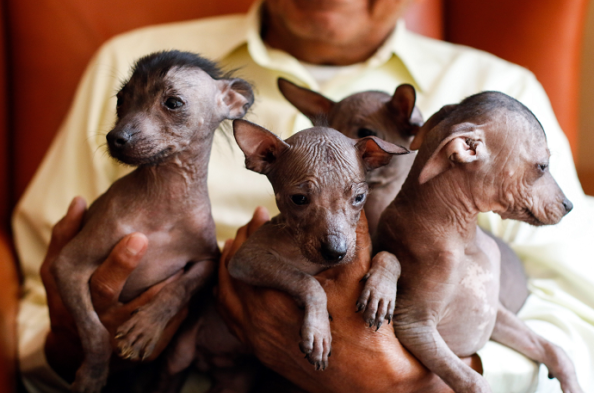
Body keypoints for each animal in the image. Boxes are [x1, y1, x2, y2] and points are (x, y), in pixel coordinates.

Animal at [50, 50, 252, 390]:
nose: (116, 137)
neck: (164, 203)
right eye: (120, 99)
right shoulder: (68, 265)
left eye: (173, 103)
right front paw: (92, 374)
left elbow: (179, 289)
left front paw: (145, 327)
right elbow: (94, 332)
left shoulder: (208, 261)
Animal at [227, 120, 408, 370]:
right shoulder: (246, 258)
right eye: (299, 199)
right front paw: (318, 331)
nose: (336, 252)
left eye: (359, 198)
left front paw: (380, 294)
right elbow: (307, 280)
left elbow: (390, 255)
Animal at [374, 91, 584, 388]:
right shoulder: (414, 325)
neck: (463, 235)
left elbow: (555, 350)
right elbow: (475, 382)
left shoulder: (495, 315)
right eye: (542, 167)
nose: (569, 206)